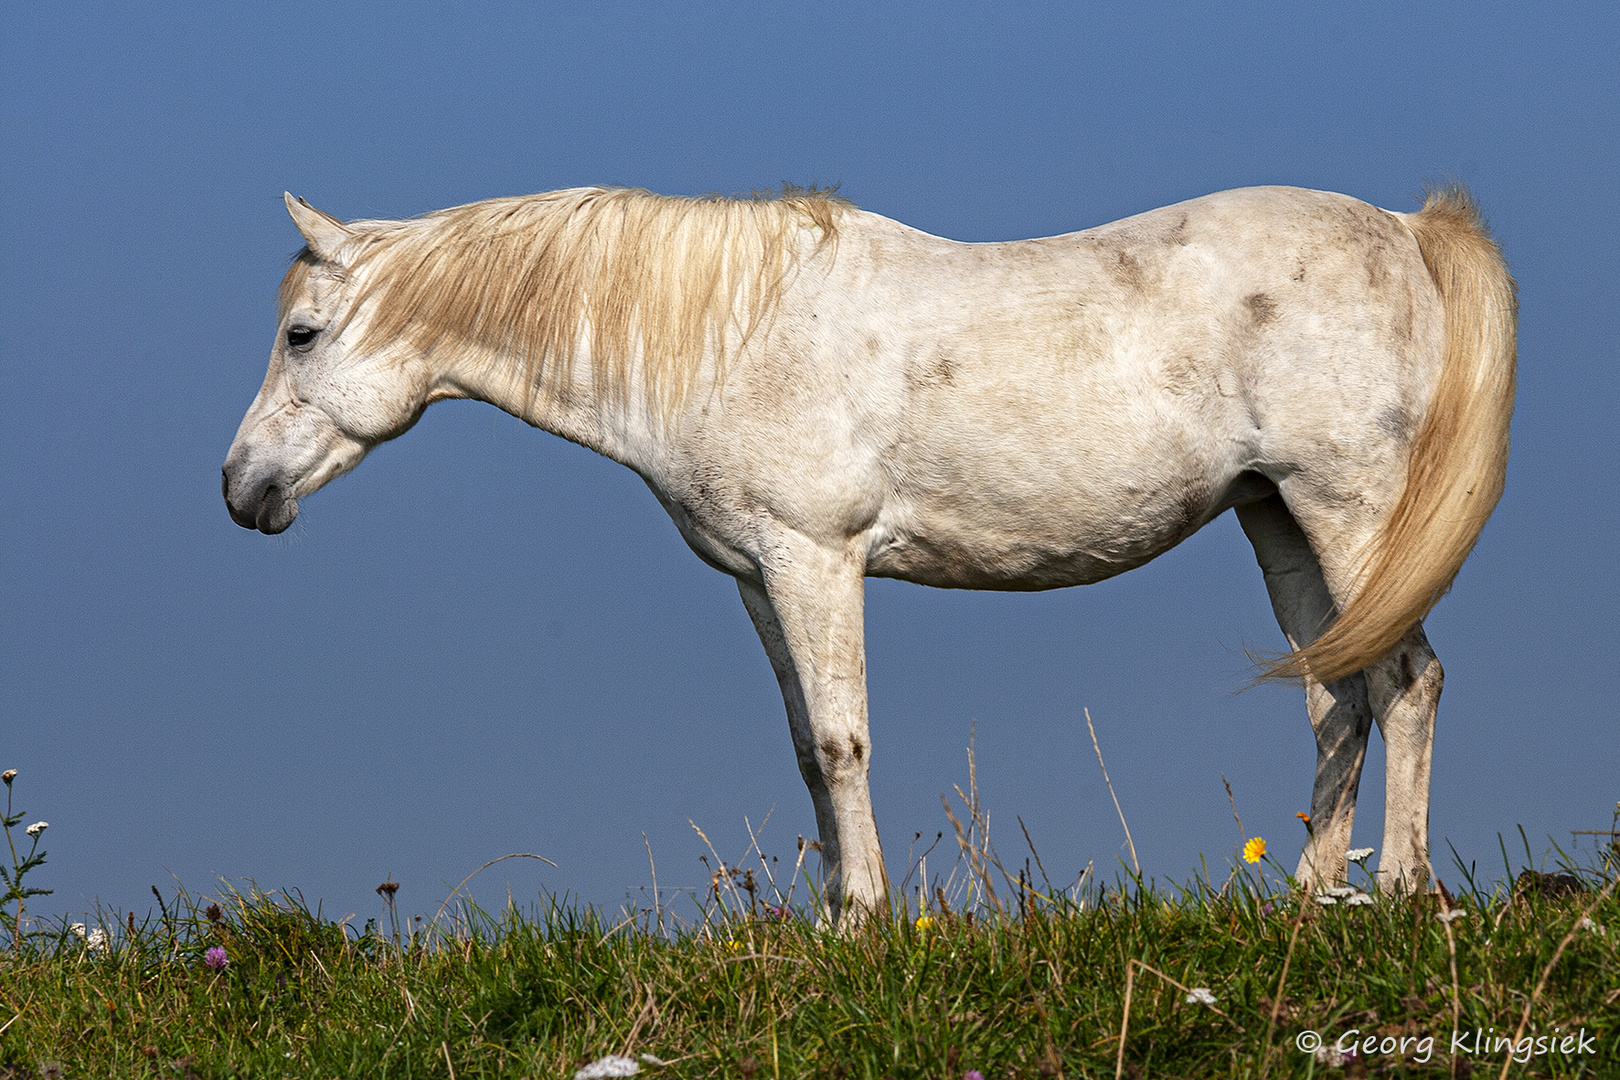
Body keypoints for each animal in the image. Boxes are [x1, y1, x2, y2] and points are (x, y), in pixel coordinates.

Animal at [221, 181, 1509, 919]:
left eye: (303, 334)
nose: (241, 490)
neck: (731, 334)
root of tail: (1409, 233)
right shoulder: (759, 577)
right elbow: (805, 750)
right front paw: (840, 911)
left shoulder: (815, 558)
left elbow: (844, 744)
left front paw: (865, 924)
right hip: (1275, 516)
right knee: (1338, 695)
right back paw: (1307, 900)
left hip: (1347, 508)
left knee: (1407, 679)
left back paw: (1402, 893)